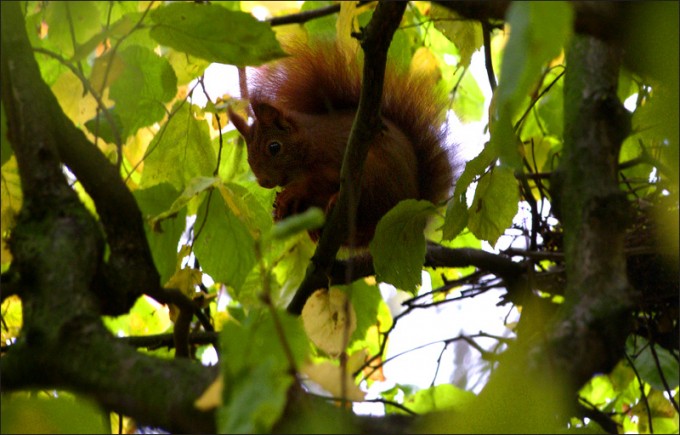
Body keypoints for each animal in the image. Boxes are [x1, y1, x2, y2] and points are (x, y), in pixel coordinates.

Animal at [229, 40, 456, 246]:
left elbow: (319, 181)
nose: (264, 182)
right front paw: (281, 209)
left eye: (274, 147)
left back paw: (335, 201)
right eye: (248, 159)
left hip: (375, 175)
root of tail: (415, 205)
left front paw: (291, 193)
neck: (310, 142)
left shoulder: (334, 154)